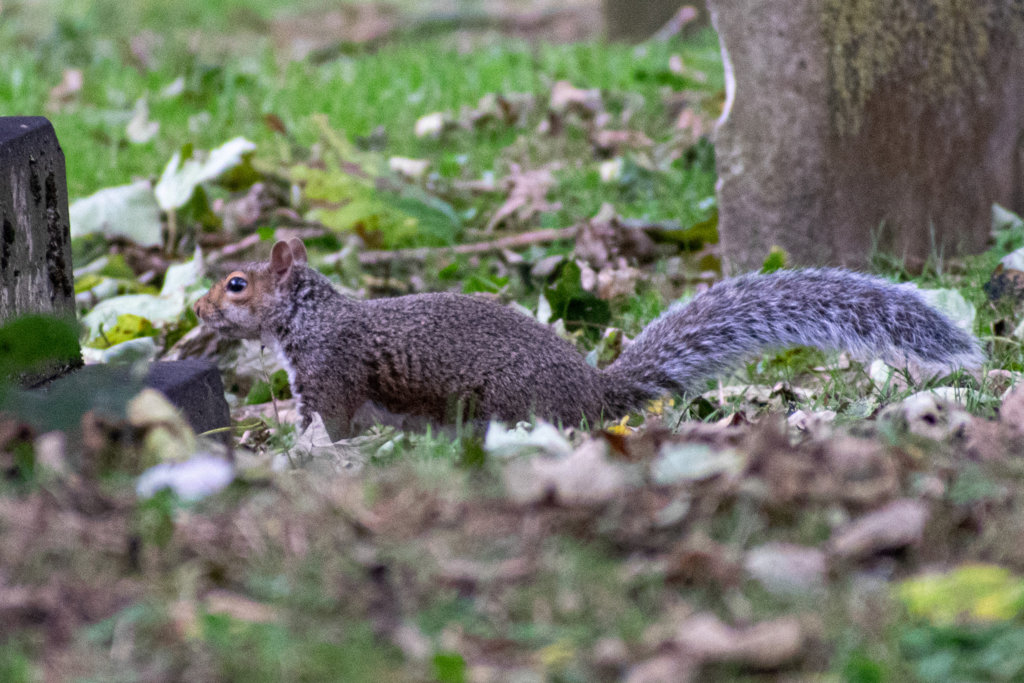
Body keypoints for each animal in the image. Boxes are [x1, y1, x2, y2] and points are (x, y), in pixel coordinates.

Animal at [194, 239, 983, 437]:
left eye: (236, 284)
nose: (198, 308)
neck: (311, 317)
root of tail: (592, 392)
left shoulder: (331, 372)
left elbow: (326, 423)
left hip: (510, 405)